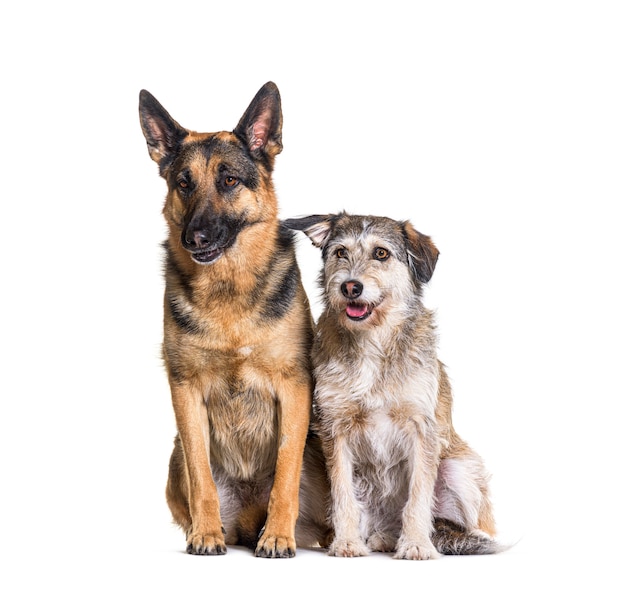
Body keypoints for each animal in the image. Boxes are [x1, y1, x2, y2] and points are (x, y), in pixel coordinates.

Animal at [138, 83, 330, 560]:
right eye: (183, 183)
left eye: (229, 180)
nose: (195, 238)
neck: (228, 292)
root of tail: (244, 518)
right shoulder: (185, 391)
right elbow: (201, 474)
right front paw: (206, 534)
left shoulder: (294, 386)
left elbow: (285, 473)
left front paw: (277, 536)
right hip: (173, 462)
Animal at [286, 213, 500, 556]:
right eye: (341, 252)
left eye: (381, 253)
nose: (350, 286)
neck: (373, 343)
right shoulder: (335, 429)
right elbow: (342, 494)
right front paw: (346, 542)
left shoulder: (422, 428)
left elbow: (418, 497)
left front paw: (416, 545)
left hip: (460, 468)